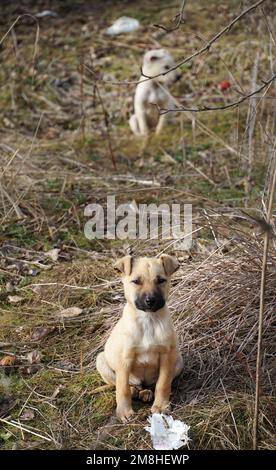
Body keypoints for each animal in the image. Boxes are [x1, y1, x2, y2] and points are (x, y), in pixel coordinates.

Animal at [96, 255, 182, 420]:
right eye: (136, 281)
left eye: (161, 280)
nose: (151, 301)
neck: (148, 320)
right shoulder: (125, 359)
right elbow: (122, 388)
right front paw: (124, 412)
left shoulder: (167, 356)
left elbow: (163, 383)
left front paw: (161, 406)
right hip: (101, 360)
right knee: (125, 385)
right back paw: (135, 391)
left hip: (178, 361)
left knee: (151, 386)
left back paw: (147, 393)